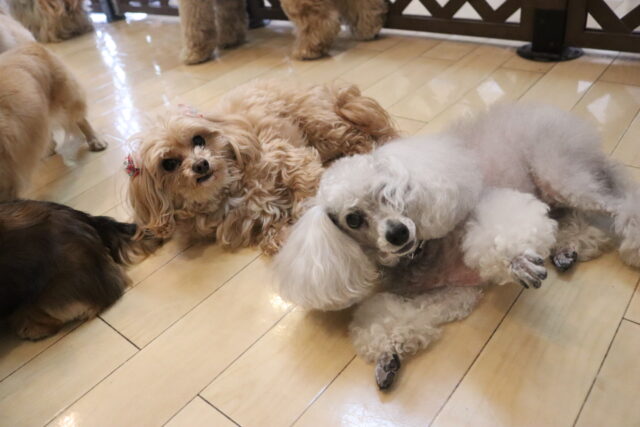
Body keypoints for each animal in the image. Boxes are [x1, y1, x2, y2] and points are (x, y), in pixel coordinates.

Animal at [126, 79, 398, 255]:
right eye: (169, 164)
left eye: (198, 140)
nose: (201, 165)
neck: (230, 190)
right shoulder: (256, 224)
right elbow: (273, 237)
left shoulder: (291, 159)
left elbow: (304, 185)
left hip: (323, 128)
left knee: (360, 137)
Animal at [273, 103, 640, 389]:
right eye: (352, 219)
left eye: (389, 191)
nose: (398, 233)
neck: (421, 253)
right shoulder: (457, 293)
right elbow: (398, 316)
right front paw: (388, 356)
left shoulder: (481, 210)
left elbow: (501, 231)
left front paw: (517, 261)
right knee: (576, 217)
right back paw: (567, 249)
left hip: (557, 173)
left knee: (619, 205)